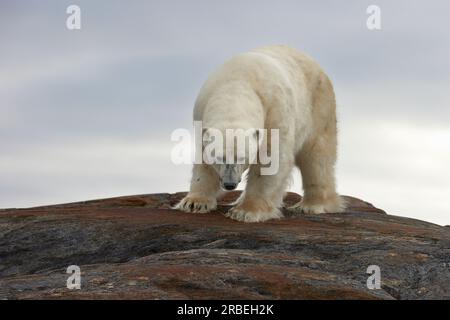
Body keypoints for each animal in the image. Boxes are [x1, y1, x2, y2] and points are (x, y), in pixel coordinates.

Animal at [176, 45, 344, 222]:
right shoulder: (201, 115)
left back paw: (313, 205)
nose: (230, 184)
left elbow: (271, 158)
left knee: (316, 156)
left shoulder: (274, 110)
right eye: (220, 157)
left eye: (242, 157)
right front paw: (194, 202)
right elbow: (203, 160)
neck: (235, 85)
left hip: (318, 105)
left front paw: (246, 211)